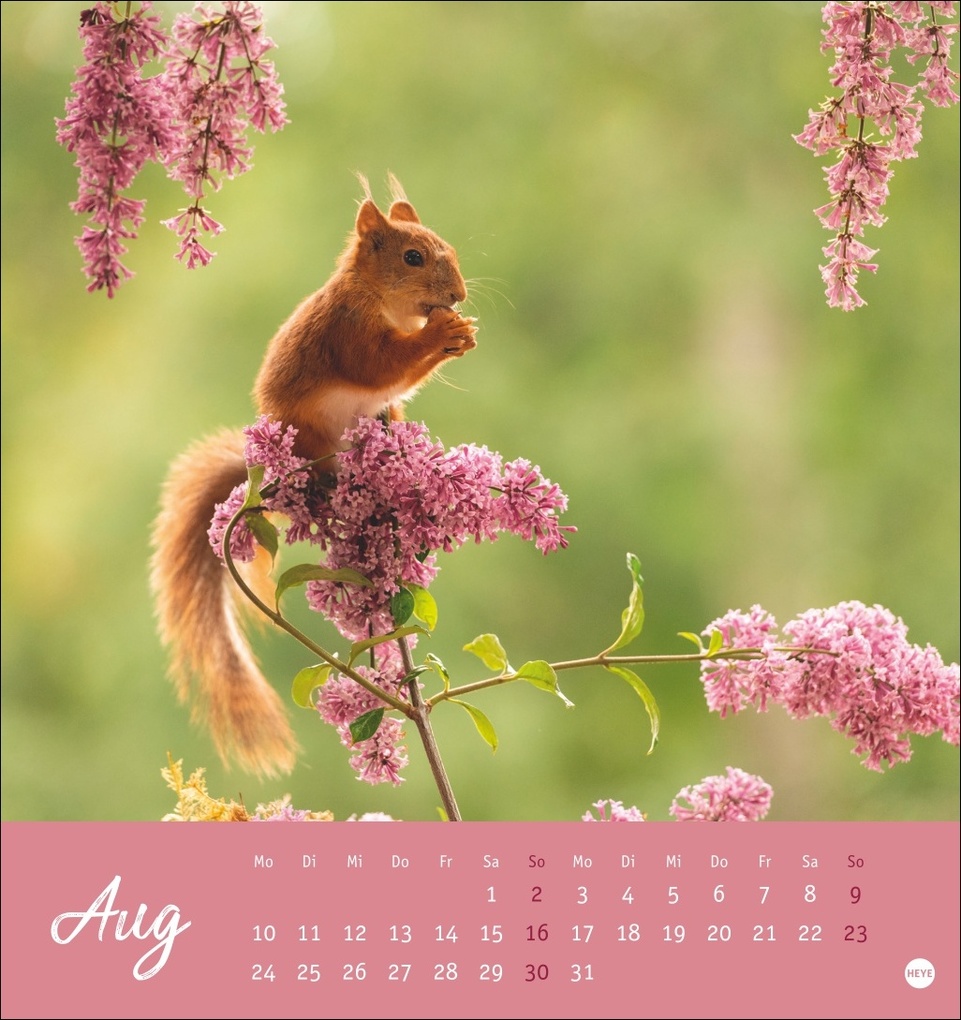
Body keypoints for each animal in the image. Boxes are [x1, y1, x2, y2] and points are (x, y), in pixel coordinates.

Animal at [150, 175, 477, 777]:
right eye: (413, 257)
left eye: (450, 250)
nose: (460, 297)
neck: (388, 305)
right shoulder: (348, 331)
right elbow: (379, 366)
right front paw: (444, 333)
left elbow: (397, 384)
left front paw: (459, 334)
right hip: (313, 436)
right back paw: (332, 487)